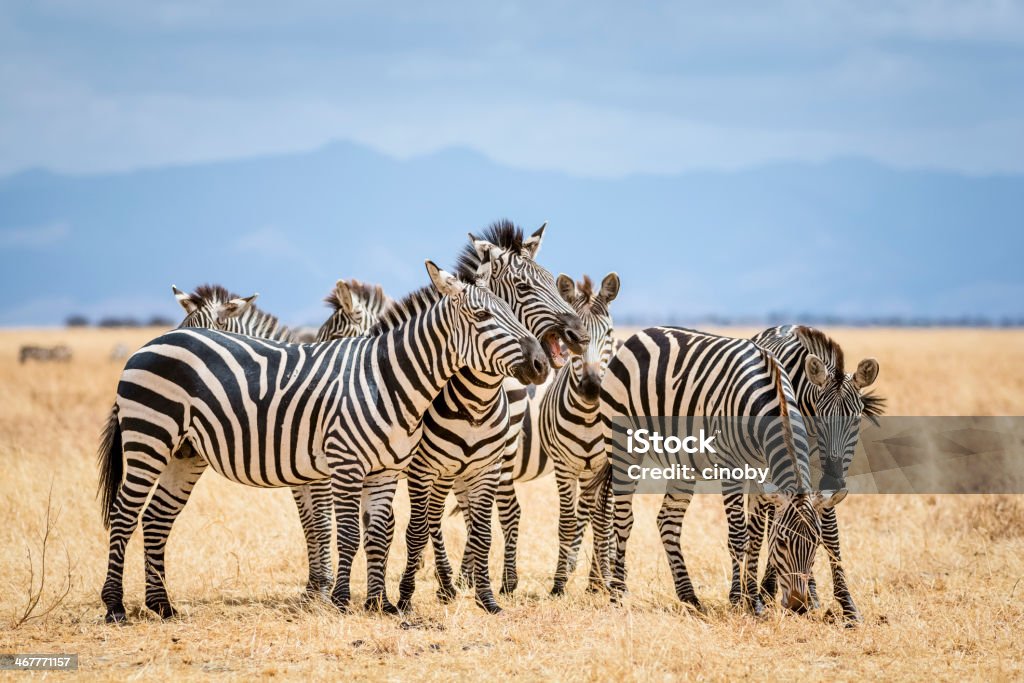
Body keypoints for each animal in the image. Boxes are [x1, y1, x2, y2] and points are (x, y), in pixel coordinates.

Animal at [96, 262, 552, 626]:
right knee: (123, 515)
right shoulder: (343, 464)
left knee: (156, 518)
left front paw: (378, 602)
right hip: (149, 436)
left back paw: (162, 606)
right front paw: (339, 598)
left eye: (510, 311)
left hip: (183, 453)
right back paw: (115, 607)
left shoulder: (384, 471)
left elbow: (378, 533)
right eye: (482, 315)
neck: (388, 380)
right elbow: (343, 532)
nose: (541, 364)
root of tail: (151, 343)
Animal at [391, 223, 589, 614]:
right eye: (524, 287)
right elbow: (426, 524)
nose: (579, 336)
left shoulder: (485, 461)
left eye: (553, 280)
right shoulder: (429, 466)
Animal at [598, 325, 847, 614]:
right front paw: (739, 599)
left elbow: (755, 537)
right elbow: (739, 536)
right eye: (782, 541)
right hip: (622, 444)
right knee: (623, 519)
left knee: (668, 520)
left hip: (683, 462)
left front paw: (754, 601)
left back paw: (689, 596)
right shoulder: (732, 469)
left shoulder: (763, 475)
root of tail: (639, 334)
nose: (798, 606)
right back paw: (617, 592)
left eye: (816, 544)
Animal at [749, 325, 884, 626]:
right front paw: (770, 590)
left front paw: (847, 604)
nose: (834, 478)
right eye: (821, 417)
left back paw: (809, 593)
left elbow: (829, 531)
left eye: (856, 419)